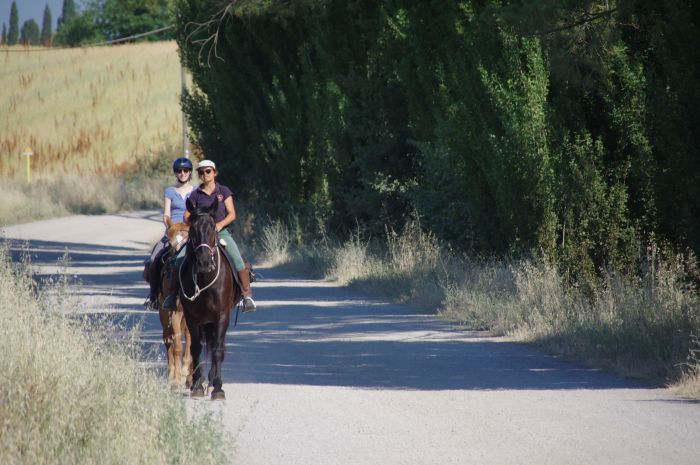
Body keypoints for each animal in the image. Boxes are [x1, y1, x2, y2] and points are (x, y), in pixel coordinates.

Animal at [178, 203, 241, 398]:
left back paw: (213, 380)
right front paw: (197, 385)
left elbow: (218, 349)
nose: (204, 262)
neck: (206, 280)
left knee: (216, 346)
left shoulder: (222, 316)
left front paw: (218, 388)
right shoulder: (192, 318)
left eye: (213, 227)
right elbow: (196, 348)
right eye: (192, 229)